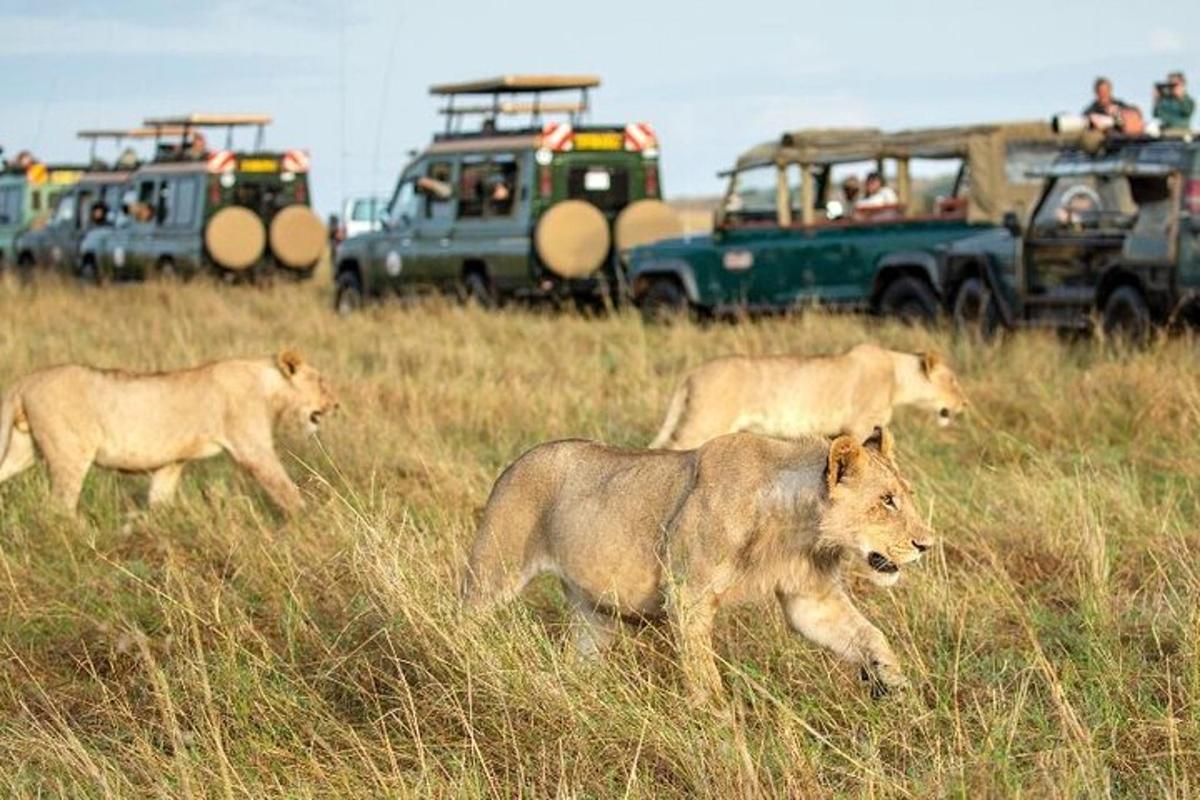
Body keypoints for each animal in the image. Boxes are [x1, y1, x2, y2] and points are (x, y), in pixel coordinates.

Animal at [1, 350, 338, 513]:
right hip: (70, 454)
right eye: (321, 382)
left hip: (22, 449)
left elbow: (160, 498)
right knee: (59, 509)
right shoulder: (252, 449)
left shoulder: (172, 462)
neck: (268, 384)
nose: (336, 404)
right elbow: (284, 488)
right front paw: (309, 519)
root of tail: (24, 381)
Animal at [460, 429, 936, 705]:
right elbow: (705, 679)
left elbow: (870, 636)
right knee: (465, 614)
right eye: (886, 500)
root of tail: (517, 460)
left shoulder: (811, 599)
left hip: (594, 613)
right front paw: (721, 729)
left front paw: (895, 686)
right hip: (494, 570)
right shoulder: (687, 594)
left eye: (906, 495)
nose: (927, 545)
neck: (796, 525)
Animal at [648, 343, 964, 450]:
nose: (965, 403)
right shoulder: (860, 425)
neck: (897, 377)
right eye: (952, 380)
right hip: (704, 423)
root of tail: (692, 372)